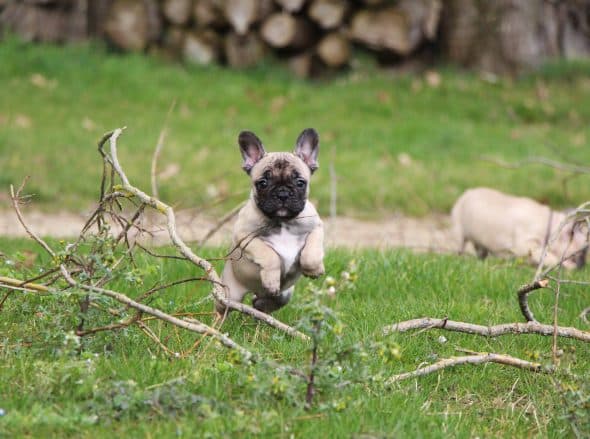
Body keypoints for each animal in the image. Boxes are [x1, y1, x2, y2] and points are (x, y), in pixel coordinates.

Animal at [217, 128, 326, 316]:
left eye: (300, 183)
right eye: (263, 183)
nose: (282, 193)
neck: (283, 222)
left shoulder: (316, 227)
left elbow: (311, 253)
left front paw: (314, 270)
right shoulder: (244, 236)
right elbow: (269, 255)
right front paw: (271, 280)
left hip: (284, 296)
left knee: (264, 303)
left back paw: (260, 307)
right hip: (230, 293)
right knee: (222, 307)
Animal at [454, 188, 588, 270]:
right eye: (580, 251)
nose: (582, 267)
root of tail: (465, 193)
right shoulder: (524, 242)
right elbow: (546, 255)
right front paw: (569, 267)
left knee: (480, 250)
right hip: (458, 226)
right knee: (460, 244)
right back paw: (460, 257)